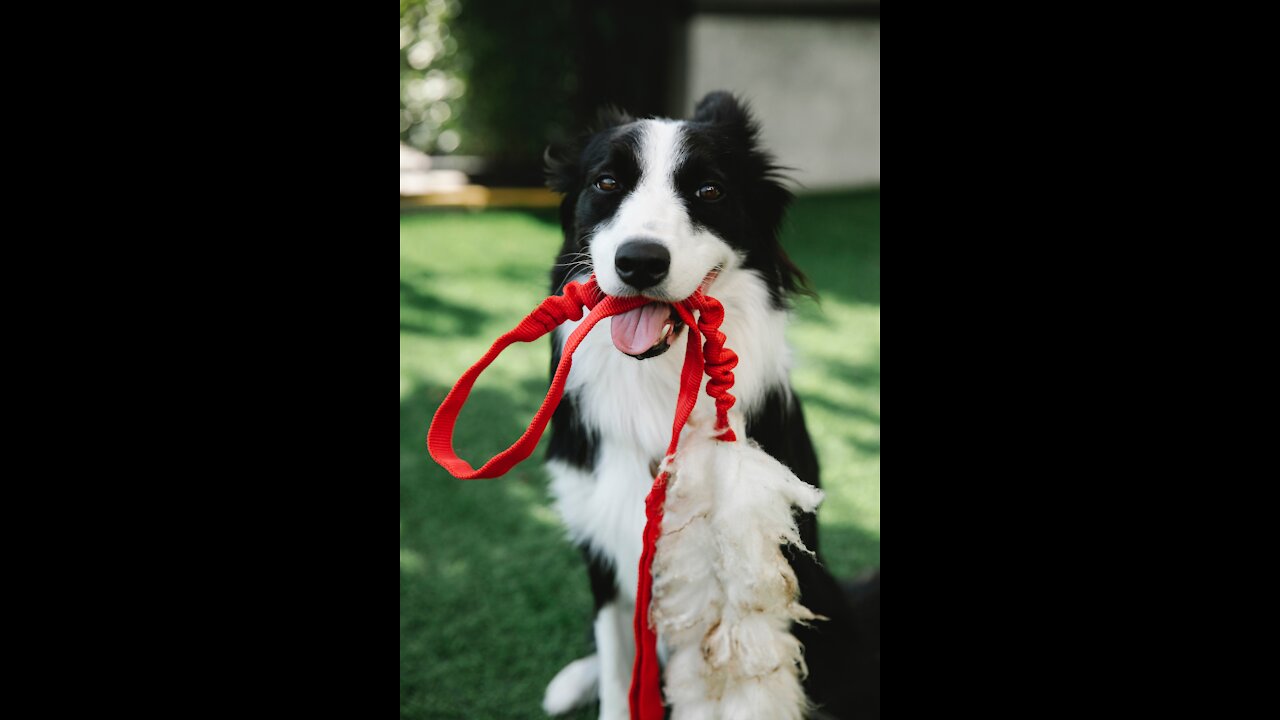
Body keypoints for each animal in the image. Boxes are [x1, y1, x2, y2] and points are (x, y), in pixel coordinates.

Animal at [540, 92, 860, 712]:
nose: (640, 261)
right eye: (606, 182)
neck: (658, 387)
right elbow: (617, 666)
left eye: (710, 190)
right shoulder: (603, 544)